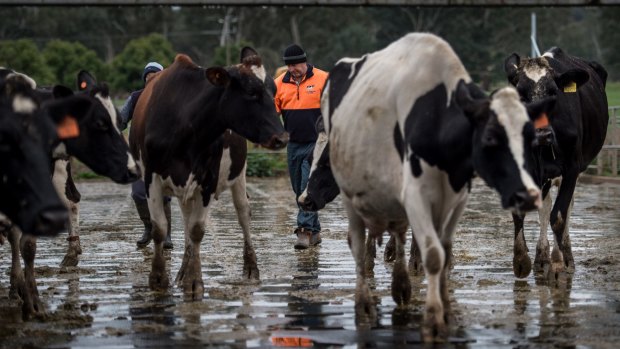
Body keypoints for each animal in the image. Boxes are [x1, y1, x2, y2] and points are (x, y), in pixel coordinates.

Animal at [130, 47, 288, 300]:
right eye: (251, 92)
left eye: (274, 91)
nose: (281, 138)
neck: (185, 122)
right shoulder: (150, 178)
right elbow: (160, 228)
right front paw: (159, 278)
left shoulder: (208, 179)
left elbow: (197, 230)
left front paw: (195, 281)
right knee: (185, 220)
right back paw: (182, 272)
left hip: (239, 174)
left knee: (243, 214)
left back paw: (250, 268)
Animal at [504, 47, 612, 278]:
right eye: (521, 94)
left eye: (554, 92)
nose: (542, 134)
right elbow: (523, 212)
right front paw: (521, 260)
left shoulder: (572, 168)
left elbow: (560, 216)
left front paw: (557, 265)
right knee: (545, 208)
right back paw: (542, 257)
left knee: (565, 209)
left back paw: (563, 256)